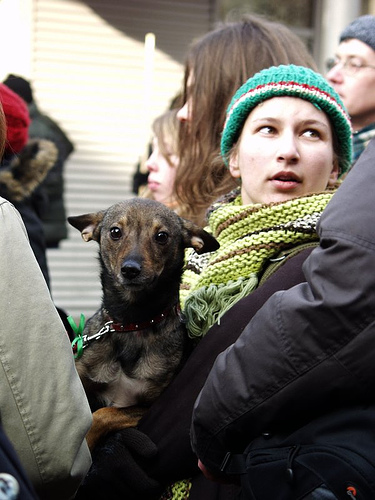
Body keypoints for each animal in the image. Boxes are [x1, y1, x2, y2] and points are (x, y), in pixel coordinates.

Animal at [69, 198, 219, 450]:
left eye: (162, 236)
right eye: (115, 232)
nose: (130, 269)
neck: (131, 323)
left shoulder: (148, 408)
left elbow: (103, 415)